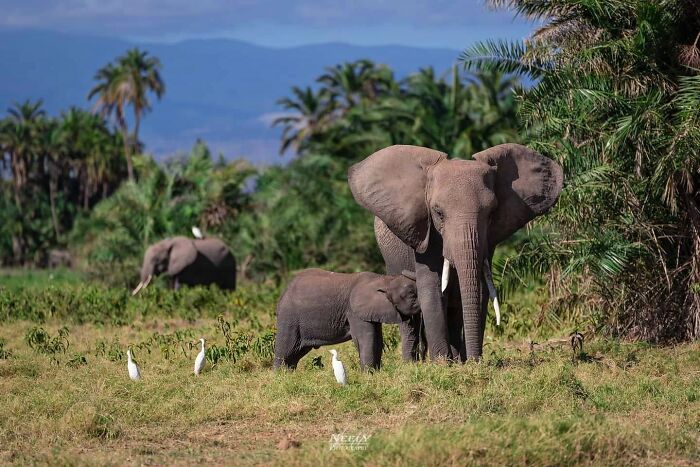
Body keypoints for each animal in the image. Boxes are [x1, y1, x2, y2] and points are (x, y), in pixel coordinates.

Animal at [273, 268, 420, 370]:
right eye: (412, 295)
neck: (384, 279)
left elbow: (377, 340)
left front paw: (376, 373)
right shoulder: (354, 311)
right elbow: (366, 339)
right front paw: (368, 375)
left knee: (295, 354)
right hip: (289, 318)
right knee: (286, 350)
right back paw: (279, 378)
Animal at [348, 143, 563, 361]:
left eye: (491, 213)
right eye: (438, 212)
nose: (475, 360)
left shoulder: (488, 239)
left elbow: (480, 290)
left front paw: (465, 362)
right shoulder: (428, 234)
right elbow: (432, 288)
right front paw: (442, 363)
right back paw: (413, 361)